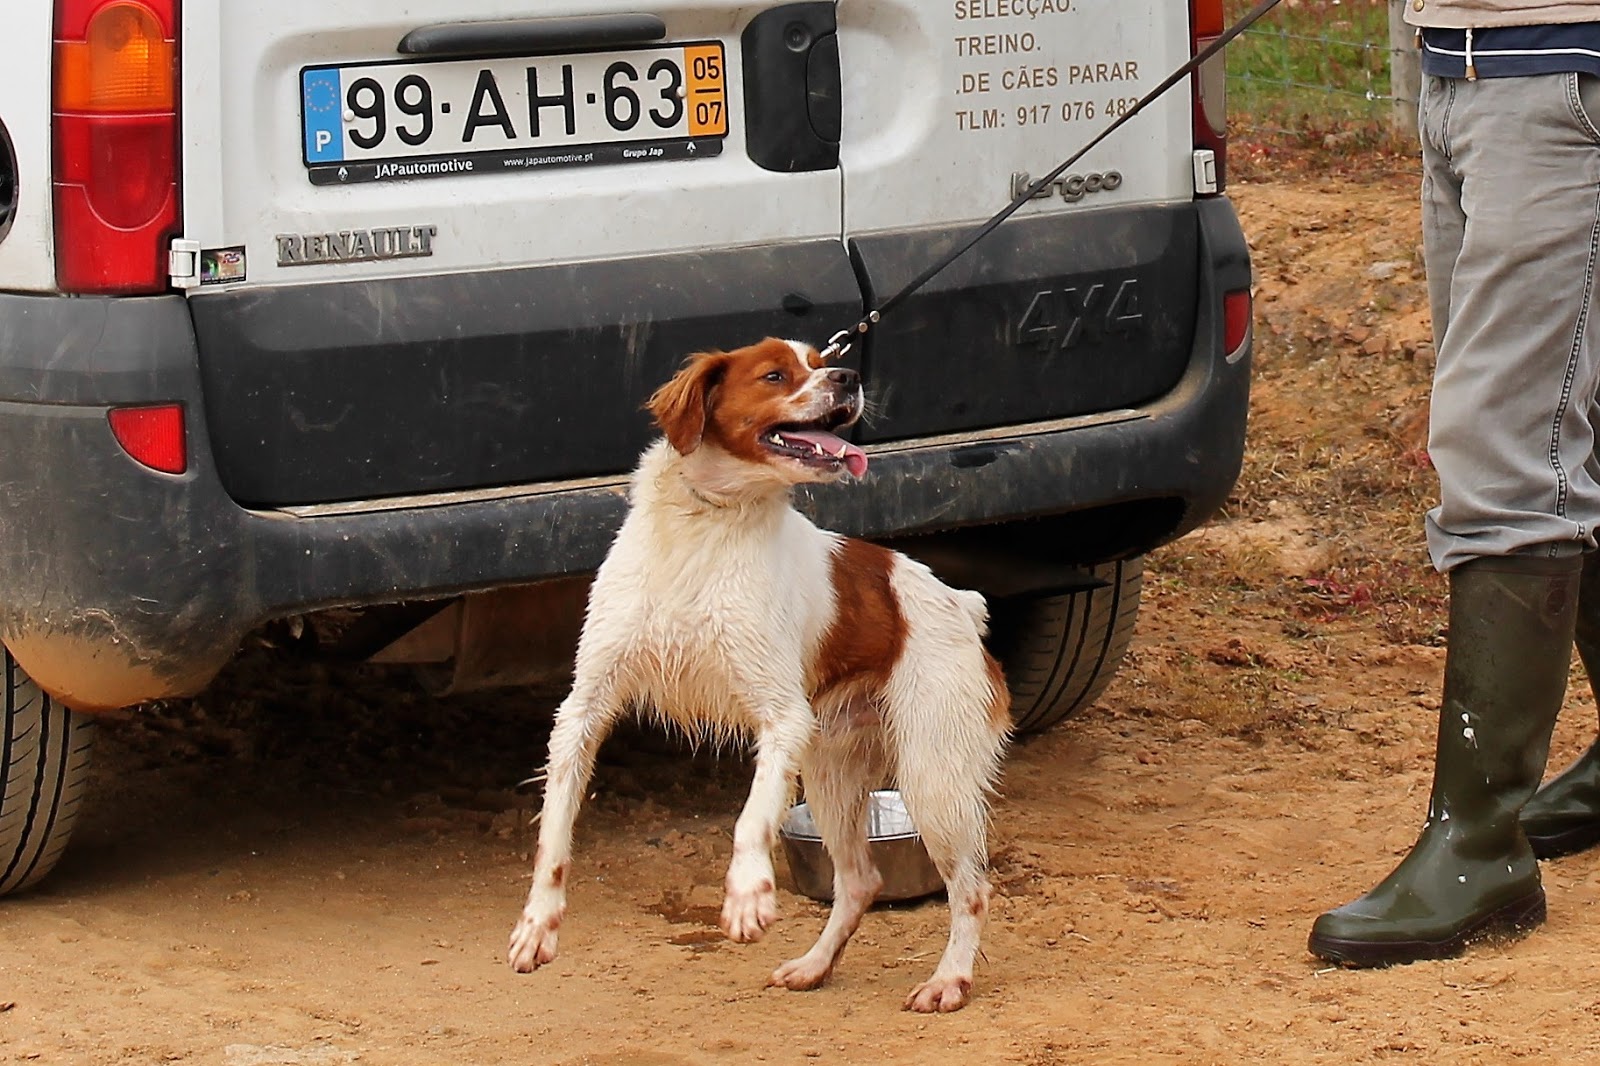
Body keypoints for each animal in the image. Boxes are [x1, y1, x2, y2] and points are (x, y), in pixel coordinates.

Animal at [506, 337, 1011, 1013]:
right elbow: (554, 838)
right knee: (860, 881)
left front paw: (747, 892)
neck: (705, 523)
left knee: (971, 889)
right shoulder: (583, 712)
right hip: (831, 774)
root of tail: (961, 603)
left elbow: (751, 819)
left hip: (933, 775)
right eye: (775, 375)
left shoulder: (782, 717)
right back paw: (814, 966)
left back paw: (948, 980)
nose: (849, 375)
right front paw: (538, 925)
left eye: (821, 360)